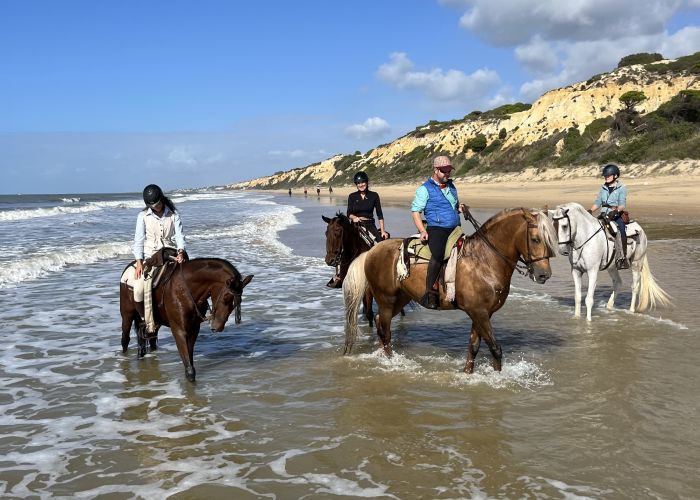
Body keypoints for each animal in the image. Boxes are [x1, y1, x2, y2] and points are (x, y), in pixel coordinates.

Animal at [119, 258, 253, 382]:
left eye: (238, 302)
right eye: (226, 298)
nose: (217, 327)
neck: (184, 289)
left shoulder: (194, 329)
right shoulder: (179, 330)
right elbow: (190, 370)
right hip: (127, 315)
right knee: (125, 339)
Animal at [342, 206, 556, 372]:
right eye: (535, 239)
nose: (544, 275)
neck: (484, 260)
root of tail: (371, 251)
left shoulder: (482, 313)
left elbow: (474, 347)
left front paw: (468, 374)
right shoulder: (479, 312)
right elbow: (495, 349)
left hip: (400, 299)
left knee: (379, 322)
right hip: (386, 300)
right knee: (385, 331)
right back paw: (390, 362)